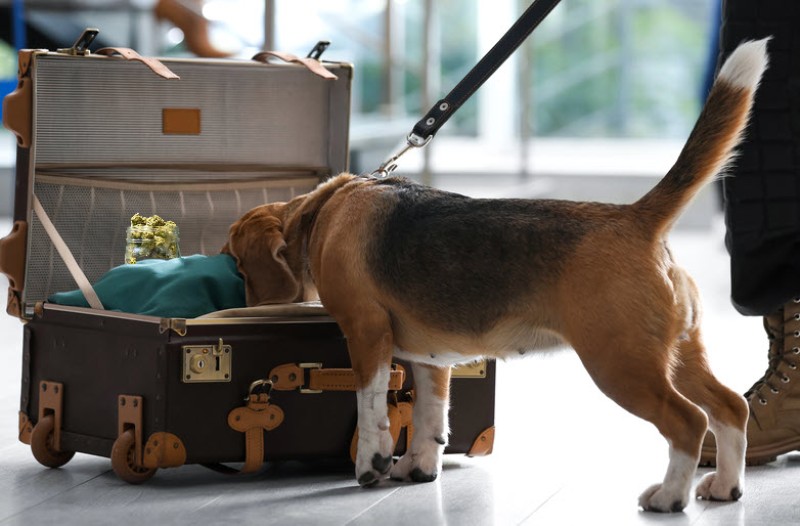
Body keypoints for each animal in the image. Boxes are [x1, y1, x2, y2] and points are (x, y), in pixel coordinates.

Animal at [223, 42, 768, 516]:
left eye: (237, 264)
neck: (325, 211)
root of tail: (636, 218)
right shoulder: (431, 357)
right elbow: (430, 414)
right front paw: (418, 466)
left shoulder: (365, 331)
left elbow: (371, 404)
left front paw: (371, 464)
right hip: (676, 355)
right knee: (728, 409)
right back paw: (726, 486)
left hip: (620, 364)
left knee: (688, 421)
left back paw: (669, 496)